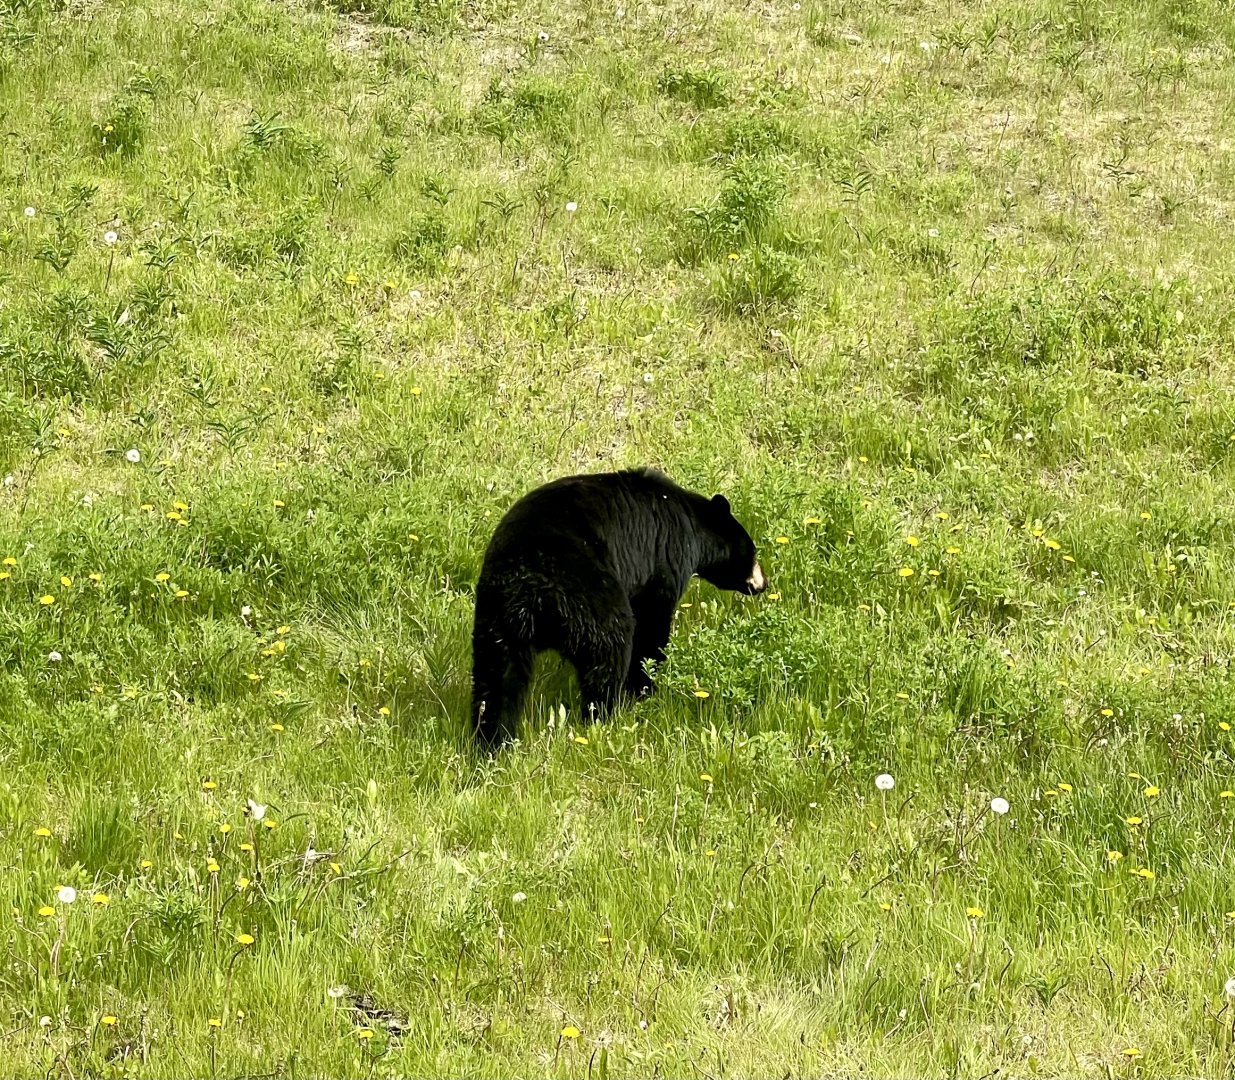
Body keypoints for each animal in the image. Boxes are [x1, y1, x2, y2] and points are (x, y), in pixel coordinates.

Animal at [470, 467, 766, 747]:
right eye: (753, 552)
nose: (763, 583)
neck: (691, 520)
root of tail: (530, 586)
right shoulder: (665, 558)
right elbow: (652, 624)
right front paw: (645, 686)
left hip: (497, 617)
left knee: (497, 679)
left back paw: (492, 740)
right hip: (590, 596)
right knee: (609, 652)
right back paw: (603, 715)